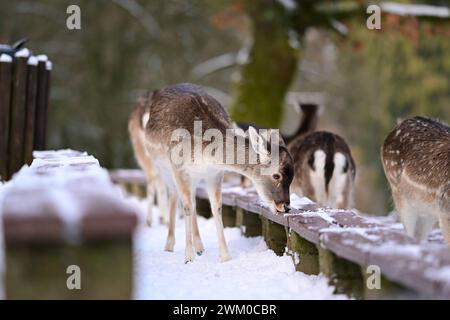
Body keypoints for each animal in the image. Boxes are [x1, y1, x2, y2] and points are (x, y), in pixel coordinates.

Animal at [135, 82, 294, 262]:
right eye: (276, 175)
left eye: (292, 176)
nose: (286, 206)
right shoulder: (179, 168)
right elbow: (187, 206)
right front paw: (188, 258)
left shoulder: (215, 173)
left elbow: (216, 207)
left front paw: (225, 256)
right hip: (162, 167)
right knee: (175, 196)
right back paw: (169, 245)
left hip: (194, 177)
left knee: (192, 200)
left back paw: (200, 247)